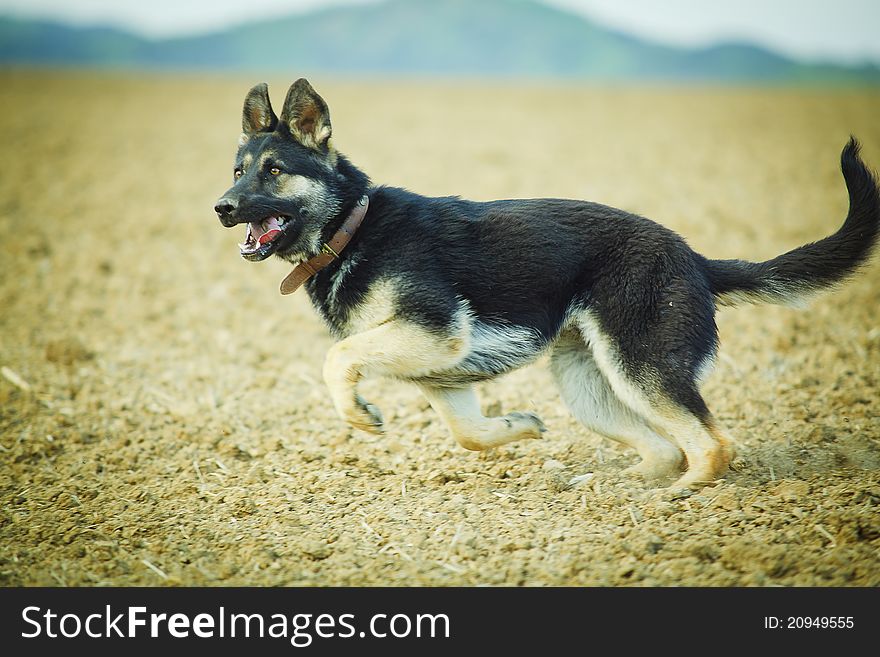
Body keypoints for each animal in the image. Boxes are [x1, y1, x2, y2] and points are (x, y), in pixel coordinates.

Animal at [215, 79, 880, 486]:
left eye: (273, 171)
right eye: (238, 169)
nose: (221, 207)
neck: (352, 228)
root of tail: (693, 255)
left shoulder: (433, 333)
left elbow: (339, 358)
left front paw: (356, 414)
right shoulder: (439, 370)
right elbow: (468, 434)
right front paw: (519, 428)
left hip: (641, 366)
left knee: (712, 445)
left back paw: (674, 499)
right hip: (588, 384)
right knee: (668, 446)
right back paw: (616, 485)